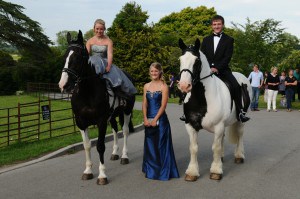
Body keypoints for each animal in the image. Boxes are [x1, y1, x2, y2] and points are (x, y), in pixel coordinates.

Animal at [57, 31, 135, 185]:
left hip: (127, 112)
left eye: (78, 57)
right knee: (115, 130)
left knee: (125, 131)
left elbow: (100, 146)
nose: (64, 84)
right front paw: (88, 171)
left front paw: (102, 175)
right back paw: (115, 153)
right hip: (113, 116)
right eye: (65, 57)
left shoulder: (101, 121)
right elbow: (87, 145)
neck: (87, 92)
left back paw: (124, 156)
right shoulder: (81, 122)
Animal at [178, 38, 251, 181]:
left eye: (197, 61)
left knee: (240, 134)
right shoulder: (190, 126)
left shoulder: (218, 125)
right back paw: (221, 158)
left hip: (240, 120)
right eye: (180, 59)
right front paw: (192, 172)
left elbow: (215, 147)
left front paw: (216, 171)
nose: (184, 86)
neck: (201, 98)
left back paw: (239, 156)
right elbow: (193, 148)